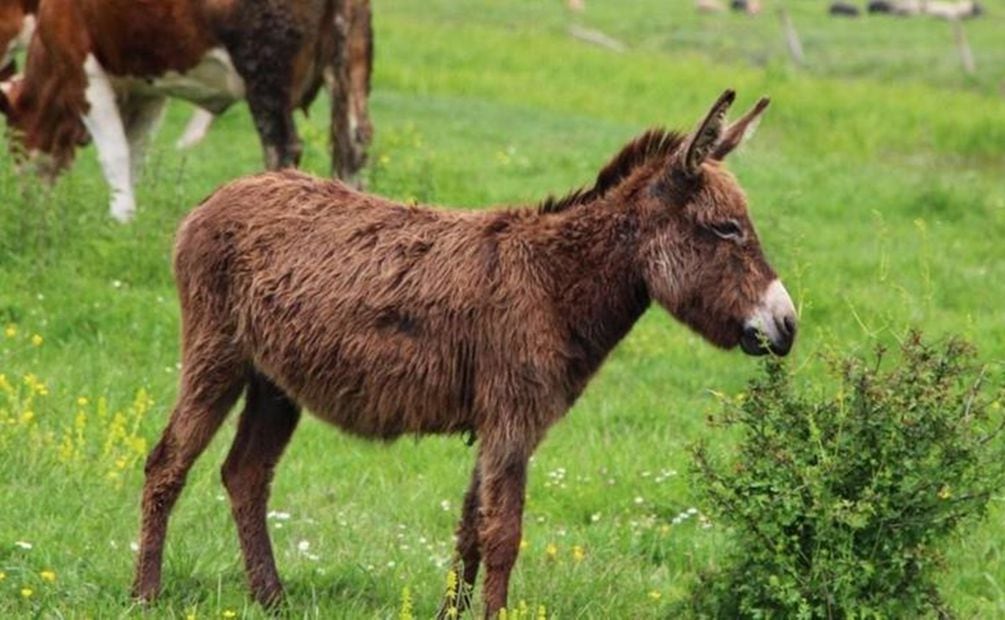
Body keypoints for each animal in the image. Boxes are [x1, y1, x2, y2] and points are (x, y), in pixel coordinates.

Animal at [0, 0, 371, 222]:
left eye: (13, 140)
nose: (26, 201)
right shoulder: (146, 89)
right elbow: (136, 153)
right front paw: (130, 220)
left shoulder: (81, 66)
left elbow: (115, 153)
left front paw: (118, 216)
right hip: (352, 61)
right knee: (354, 145)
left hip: (265, 75)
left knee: (283, 147)